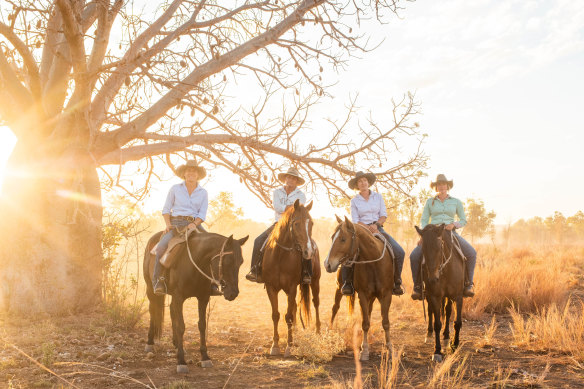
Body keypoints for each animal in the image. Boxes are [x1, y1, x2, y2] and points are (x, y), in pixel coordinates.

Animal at [145, 229, 249, 372]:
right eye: (228, 261)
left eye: (241, 262)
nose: (233, 293)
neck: (195, 262)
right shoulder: (179, 297)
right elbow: (181, 326)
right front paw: (181, 361)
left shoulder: (203, 298)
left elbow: (202, 325)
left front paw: (205, 357)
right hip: (150, 289)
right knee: (153, 311)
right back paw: (150, 343)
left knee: (171, 312)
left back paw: (176, 344)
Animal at [262, 199, 322, 356]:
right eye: (296, 224)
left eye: (311, 223)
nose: (308, 251)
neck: (280, 255)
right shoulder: (271, 287)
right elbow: (275, 314)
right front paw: (275, 345)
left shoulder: (291, 287)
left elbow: (288, 316)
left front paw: (289, 346)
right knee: (295, 305)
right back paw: (295, 331)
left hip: (315, 282)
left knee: (316, 303)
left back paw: (318, 332)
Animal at [324, 215, 396, 360]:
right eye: (332, 237)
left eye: (343, 239)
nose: (327, 264)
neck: (374, 263)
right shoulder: (362, 295)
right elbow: (365, 323)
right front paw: (364, 351)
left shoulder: (386, 295)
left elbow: (385, 322)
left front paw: (390, 349)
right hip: (339, 288)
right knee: (335, 308)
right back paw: (330, 331)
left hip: (372, 297)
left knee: (368, 311)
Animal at [416, 223, 466, 362]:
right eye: (423, 249)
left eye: (439, 247)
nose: (433, 279)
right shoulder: (434, 296)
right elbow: (437, 323)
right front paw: (437, 351)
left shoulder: (458, 296)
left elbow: (457, 322)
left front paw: (454, 345)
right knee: (430, 311)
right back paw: (429, 333)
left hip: (448, 297)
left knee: (448, 311)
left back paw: (447, 337)